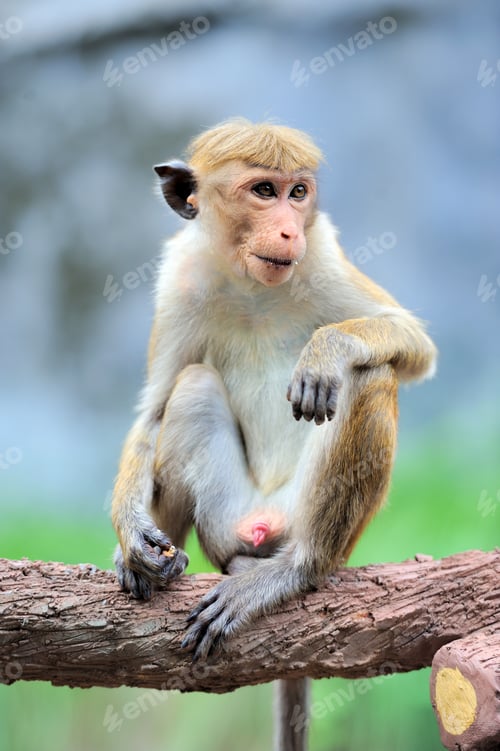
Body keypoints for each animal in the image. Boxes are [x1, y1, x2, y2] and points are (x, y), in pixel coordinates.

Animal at [111, 118, 437, 751]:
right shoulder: (180, 277)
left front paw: (328, 349)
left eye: (298, 193)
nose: (288, 228)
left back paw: (295, 570)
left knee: (370, 376)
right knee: (192, 385)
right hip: (225, 517)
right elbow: (153, 410)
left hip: (304, 517)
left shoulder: (323, 253)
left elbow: (410, 342)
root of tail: (261, 526)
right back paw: (157, 561)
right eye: (264, 191)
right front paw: (132, 536)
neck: (250, 279)